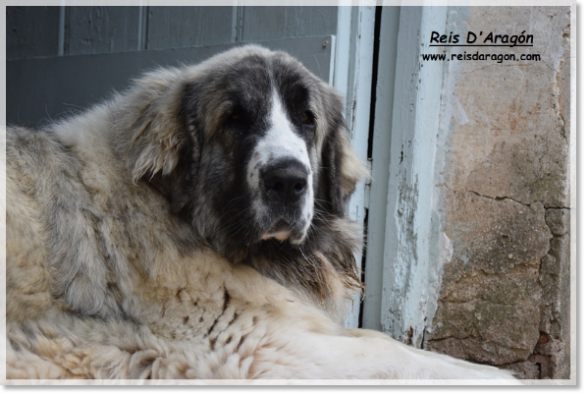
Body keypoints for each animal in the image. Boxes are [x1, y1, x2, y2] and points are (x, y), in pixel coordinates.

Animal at [3, 44, 520, 380]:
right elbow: (394, 355)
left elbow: (389, 342)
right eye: (234, 120)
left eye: (307, 120)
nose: (288, 181)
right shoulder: (261, 345)